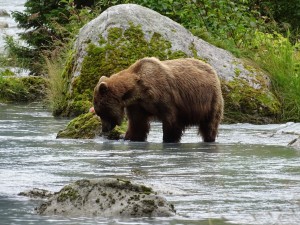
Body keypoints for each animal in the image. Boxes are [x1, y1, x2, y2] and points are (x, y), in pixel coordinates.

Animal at [93, 58, 223, 142]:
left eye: (101, 112)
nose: (104, 128)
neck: (138, 90)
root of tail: (211, 68)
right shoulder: (137, 105)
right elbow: (137, 124)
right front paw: (131, 137)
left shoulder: (165, 96)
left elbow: (171, 121)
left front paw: (169, 139)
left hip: (210, 98)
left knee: (210, 124)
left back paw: (209, 138)